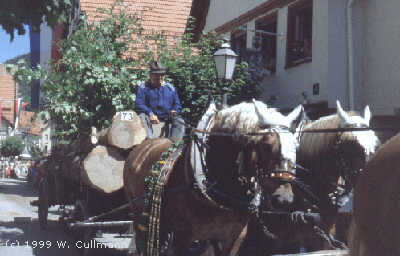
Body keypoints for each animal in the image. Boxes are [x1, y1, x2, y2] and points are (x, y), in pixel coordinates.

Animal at [125, 99, 304, 255]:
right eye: (266, 145)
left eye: (296, 145)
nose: (284, 198)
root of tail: (142, 148)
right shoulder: (182, 236)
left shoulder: (233, 237)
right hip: (139, 217)